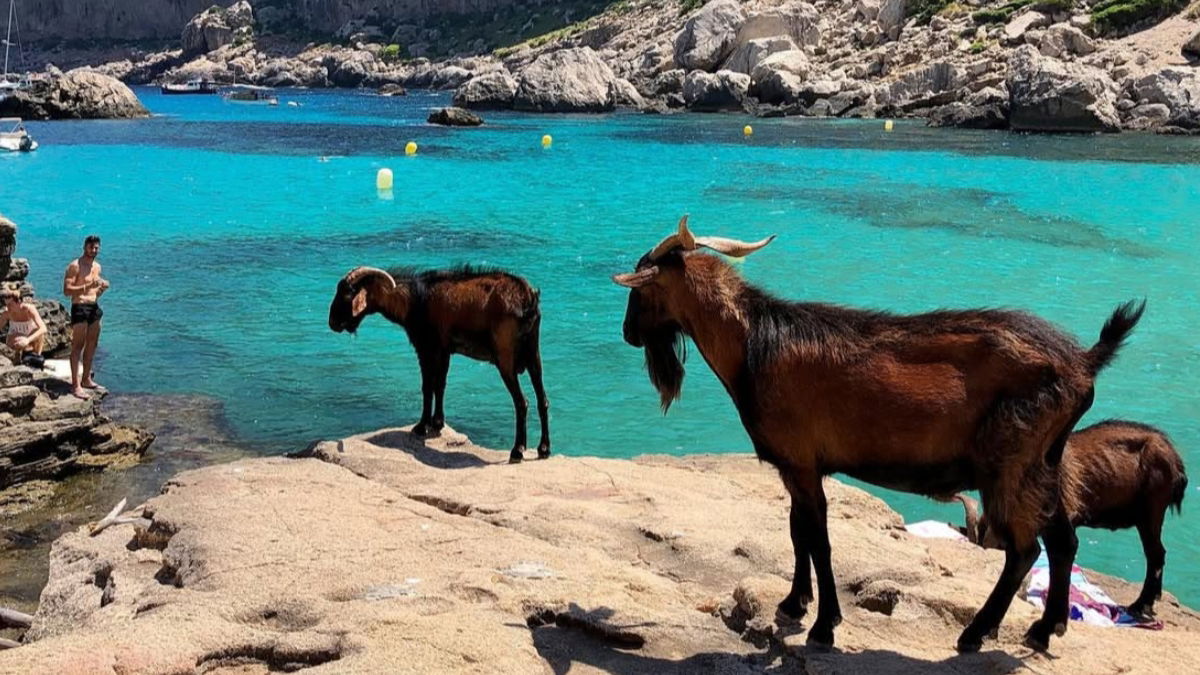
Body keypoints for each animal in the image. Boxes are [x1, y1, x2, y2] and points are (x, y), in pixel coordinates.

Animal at [329, 265, 550, 463]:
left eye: (347, 295)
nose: (333, 323)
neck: (414, 300)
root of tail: (528, 299)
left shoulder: (426, 348)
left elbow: (427, 387)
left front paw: (421, 426)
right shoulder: (444, 351)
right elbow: (440, 385)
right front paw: (437, 423)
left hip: (505, 357)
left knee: (522, 402)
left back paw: (517, 450)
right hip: (533, 352)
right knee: (543, 400)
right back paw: (543, 449)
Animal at [613, 216, 1143, 652]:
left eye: (640, 289)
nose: (628, 334)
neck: (753, 346)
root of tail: (1083, 364)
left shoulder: (801, 461)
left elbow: (819, 540)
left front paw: (824, 625)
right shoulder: (796, 464)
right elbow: (797, 532)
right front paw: (793, 604)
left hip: (1010, 461)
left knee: (1024, 549)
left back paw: (975, 634)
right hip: (1046, 459)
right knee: (1063, 540)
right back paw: (1045, 628)